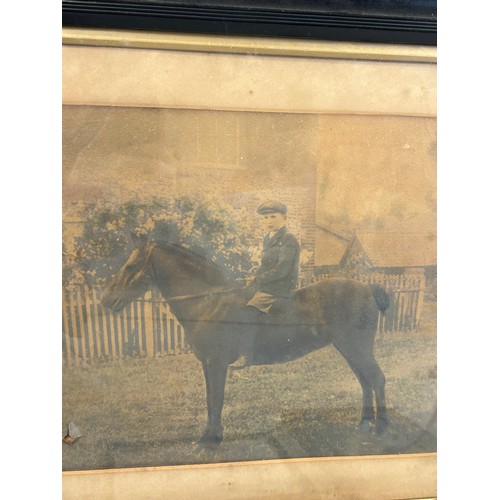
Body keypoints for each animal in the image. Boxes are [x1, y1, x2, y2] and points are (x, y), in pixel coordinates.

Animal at [101, 236, 390, 448]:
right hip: (349, 350)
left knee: (376, 379)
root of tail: (367, 287)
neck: (209, 302)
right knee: (364, 381)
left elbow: (216, 398)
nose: (106, 299)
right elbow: (210, 399)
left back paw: (381, 428)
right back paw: (364, 424)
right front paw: (211, 436)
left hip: (356, 348)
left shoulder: (217, 363)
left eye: (130, 266)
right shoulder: (207, 364)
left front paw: (210, 441)